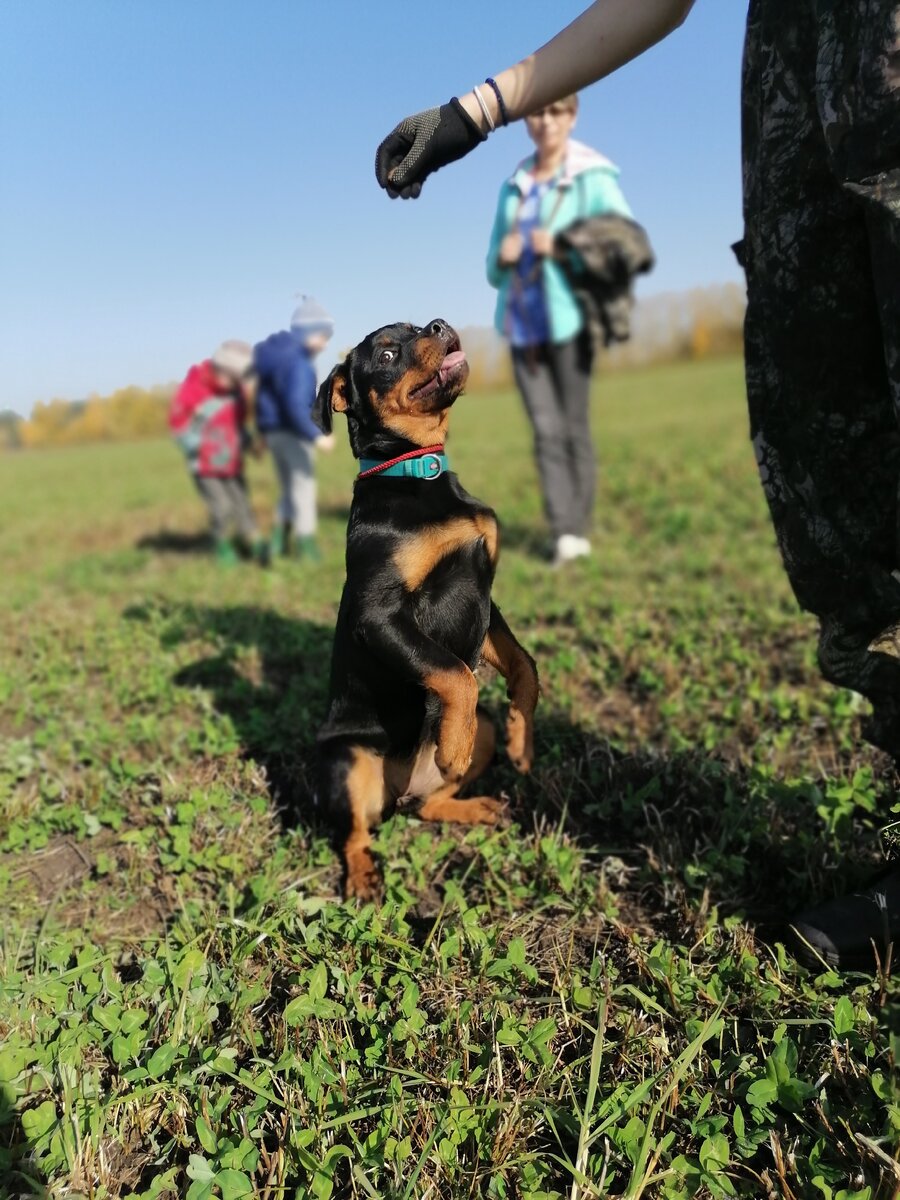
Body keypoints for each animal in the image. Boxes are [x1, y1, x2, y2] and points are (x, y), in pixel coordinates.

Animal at [316, 319, 540, 902]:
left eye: (419, 326)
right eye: (386, 354)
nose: (440, 324)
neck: (417, 471)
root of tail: (396, 792)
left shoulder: (485, 594)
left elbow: (523, 665)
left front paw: (523, 736)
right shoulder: (380, 615)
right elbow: (455, 673)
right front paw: (452, 746)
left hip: (469, 745)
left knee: (427, 806)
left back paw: (476, 805)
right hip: (348, 761)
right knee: (353, 834)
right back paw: (364, 879)